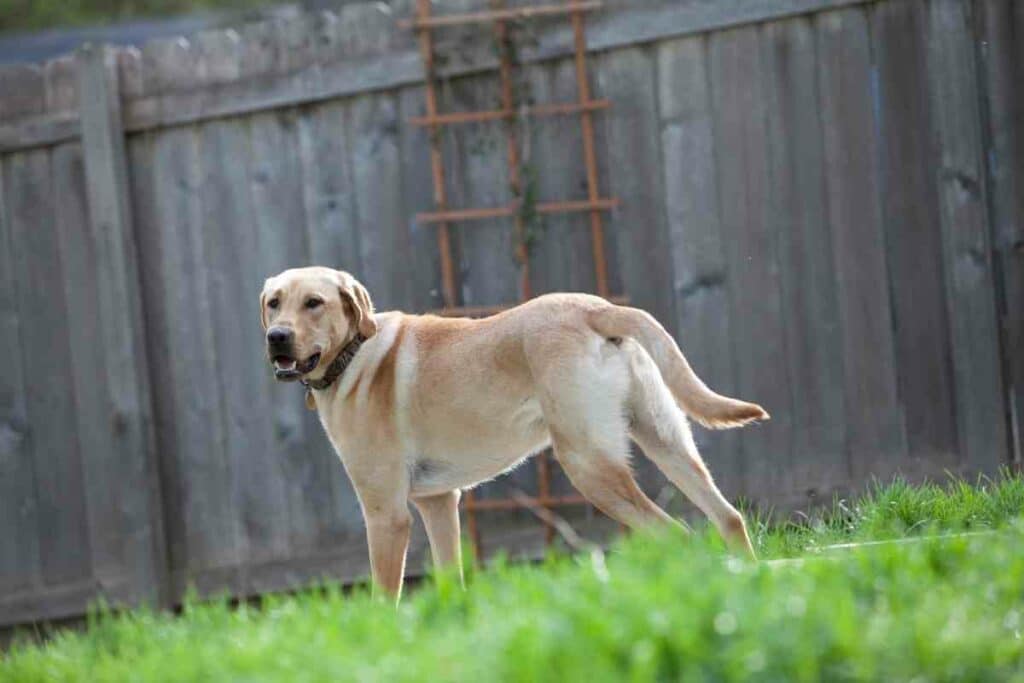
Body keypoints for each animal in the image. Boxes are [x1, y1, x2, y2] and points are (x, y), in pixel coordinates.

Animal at [262, 266, 770, 598]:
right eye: (274, 302)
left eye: (314, 303)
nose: (277, 337)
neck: (353, 352)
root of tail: (596, 309)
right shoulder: (439, 503)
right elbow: (451, 579)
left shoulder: (386, 515)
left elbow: (385, 598)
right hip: (666, 441)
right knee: (728, 518)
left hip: (589, 465)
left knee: (677, 534)